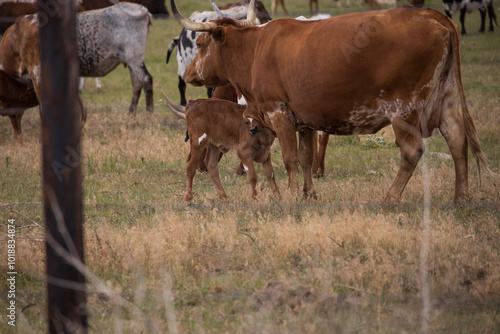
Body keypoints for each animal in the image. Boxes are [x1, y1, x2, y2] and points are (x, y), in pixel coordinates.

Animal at [172, 0, 492, 204]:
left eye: (200, 44)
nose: (188, 74)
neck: (256, 50)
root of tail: (432, 15)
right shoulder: (304, 121)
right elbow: (306, 157)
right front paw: (309, 194)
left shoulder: (279, 114)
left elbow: (289, 159)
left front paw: (291, 196)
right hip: (446, 98)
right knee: (457, 140)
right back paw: (460, 197)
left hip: (404, 111)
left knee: (412, 151)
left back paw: (390, 198)